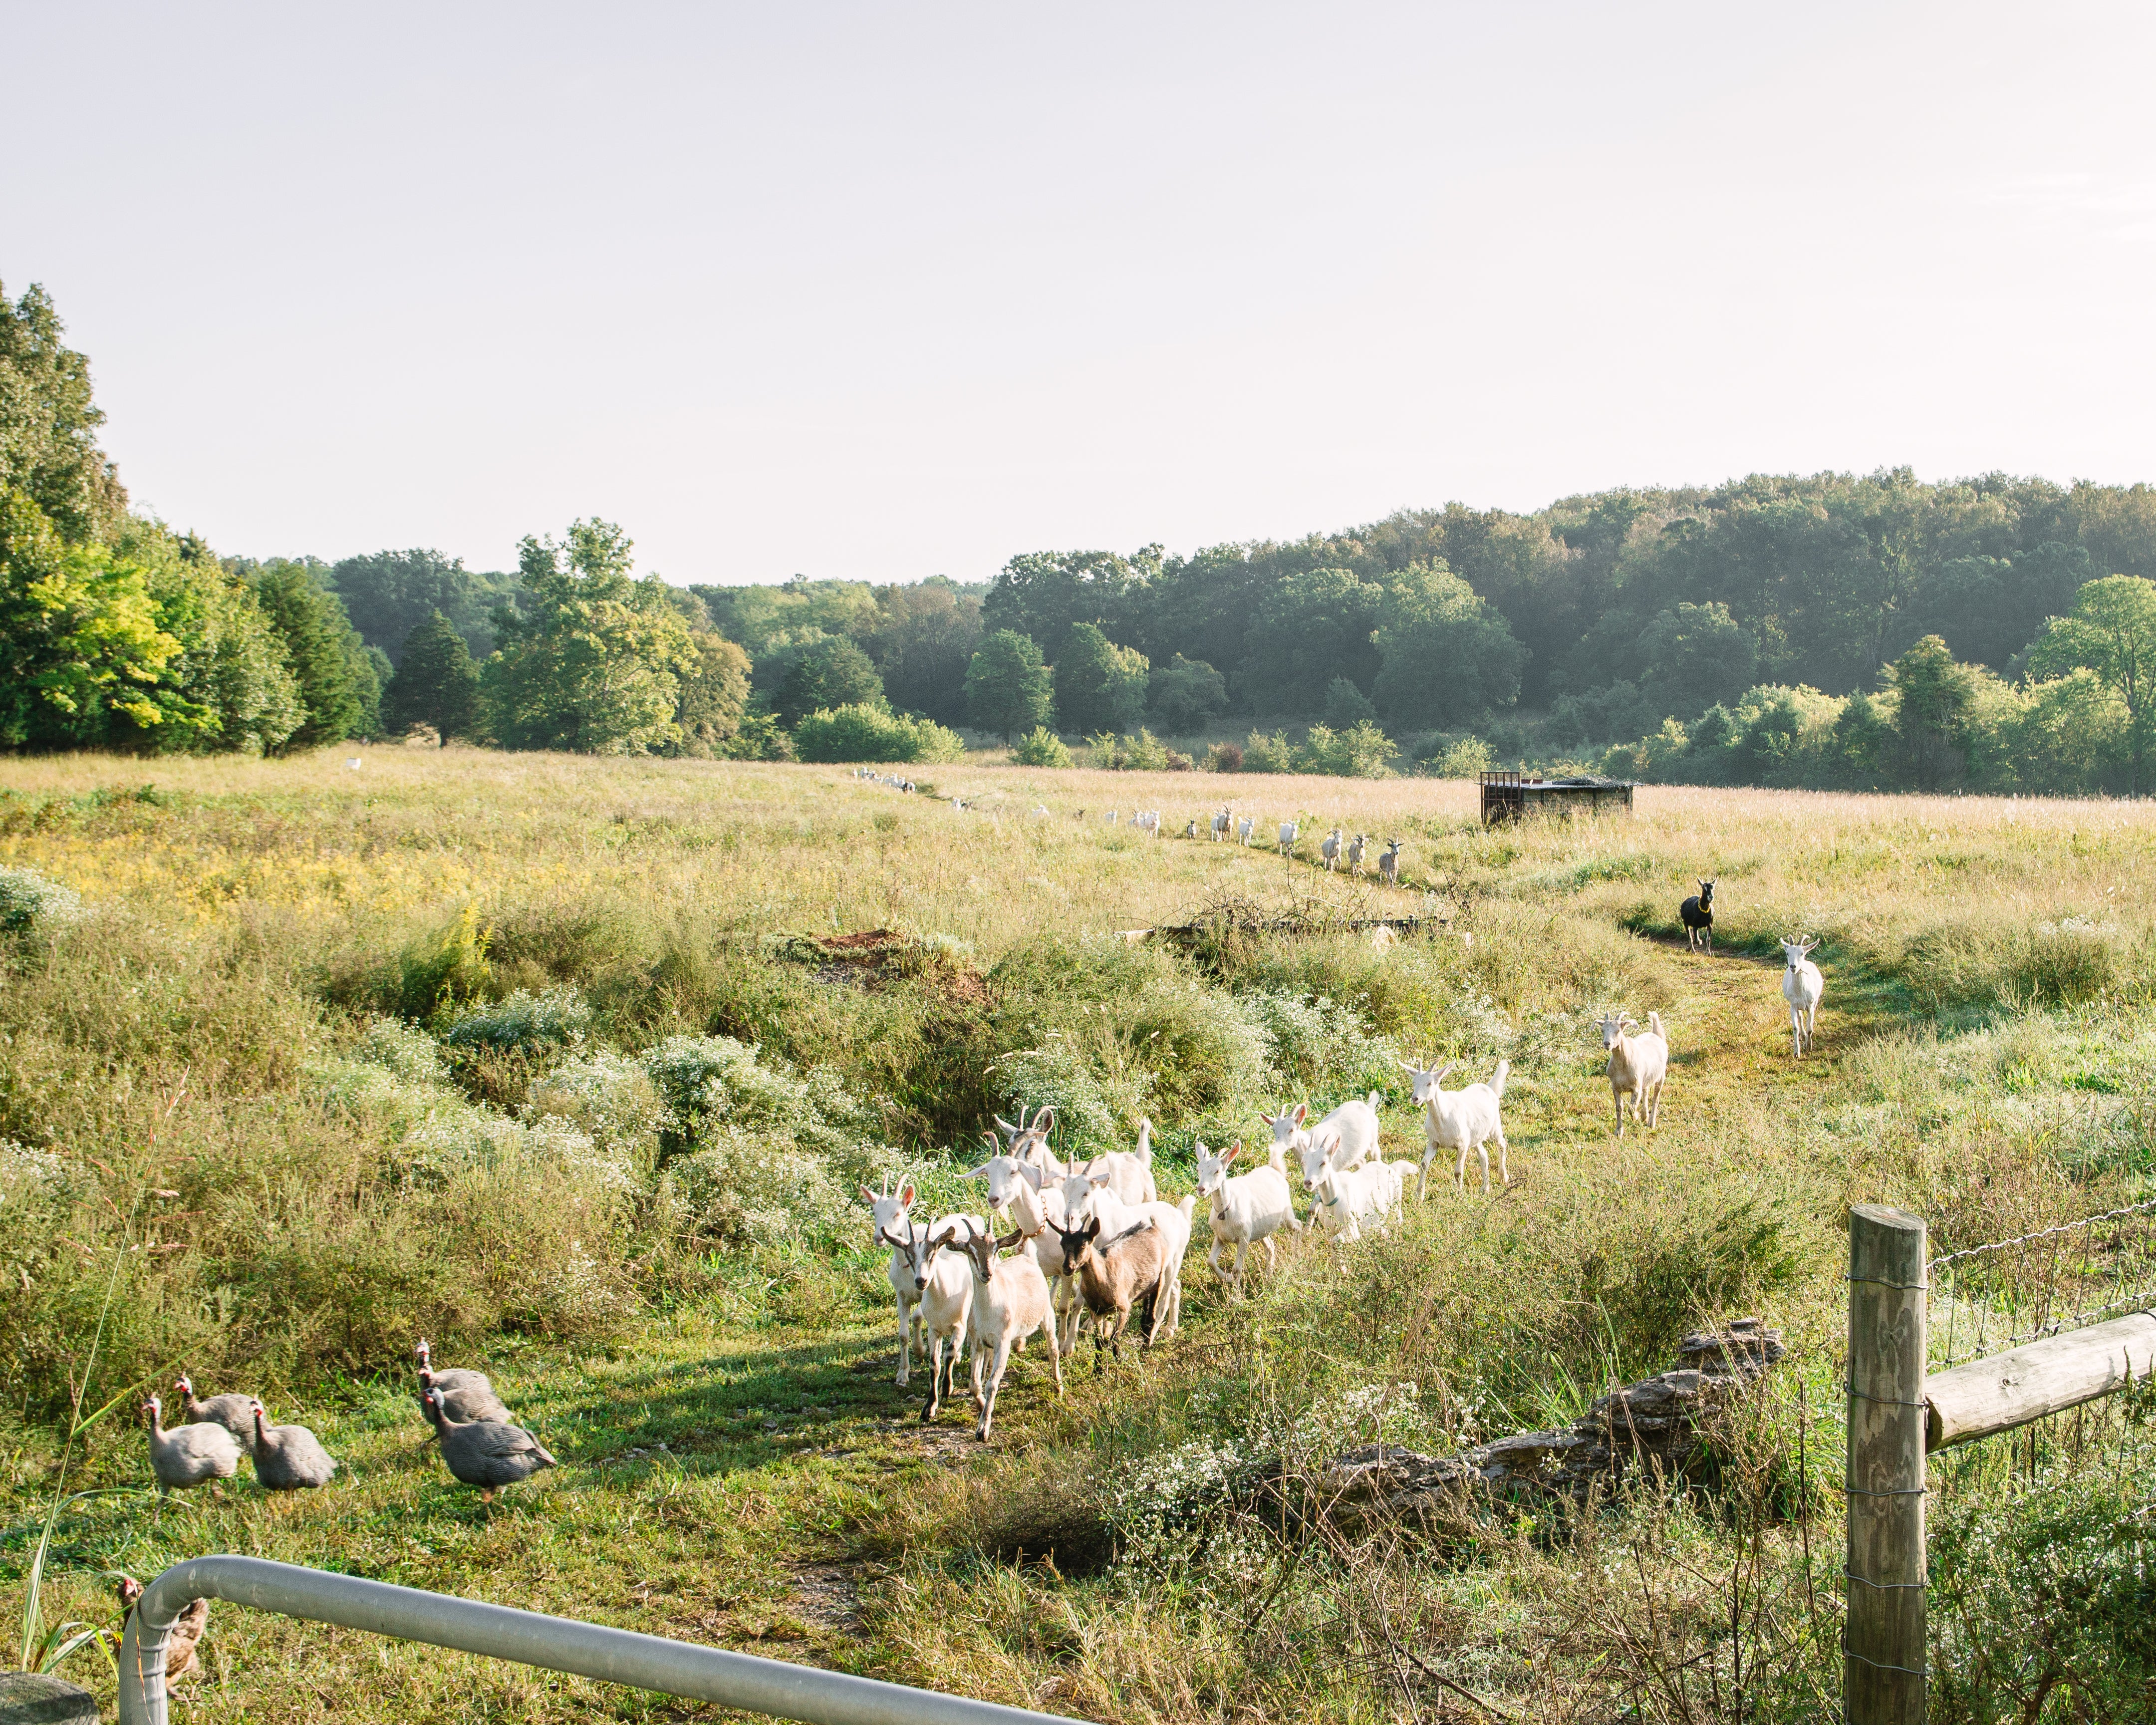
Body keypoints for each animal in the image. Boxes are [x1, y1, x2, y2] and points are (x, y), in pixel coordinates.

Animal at [1198, 1147, 1294, 1294]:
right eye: (1199, 1169)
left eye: (1217, 1171)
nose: (1201, 1189)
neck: (1226, 1209)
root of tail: (1275, 1169)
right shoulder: (1220, 1237)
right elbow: (1211, 1262)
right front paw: (1228, 1278)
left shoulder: (1243, 1238)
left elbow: (1237, 1269)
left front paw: (1235, 1296)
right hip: (1261, 1229)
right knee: (1270, 1247)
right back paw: (1268, 1277)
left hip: (1287, 1213)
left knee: (1297, 1226)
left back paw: (1297, 1251)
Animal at [1405, 1052, 1509, 1198]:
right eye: (1414, 1082)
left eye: (1430, 1083)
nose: (1415, 1099)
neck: (1443, 1119)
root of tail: (1489, 1088)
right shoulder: (1433, 1142)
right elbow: (1424, 1164)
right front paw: (1419, 1195)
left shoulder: (1462, 1145)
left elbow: (1458, 1171)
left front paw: (1459, 1194)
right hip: (1475, 1136)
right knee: (1484, 1155)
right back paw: (1485, 1188)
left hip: (1495, 1127)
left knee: (1502, 1144)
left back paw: (1503, 1177)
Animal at [1681, 875, 1716, 957]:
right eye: (1704, 889)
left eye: (1713, 888)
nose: (1711, 897)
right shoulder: (1695, 925)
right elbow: (1696, 939)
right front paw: (1700, 942)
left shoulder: (1710, 925)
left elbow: (1708, 939)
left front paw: (1708, 953)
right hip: (1686, 923)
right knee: (1690, 937)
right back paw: (1693, 951)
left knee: (1692, 935)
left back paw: (1688, 949)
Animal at [1785, 935, 1820, 1056]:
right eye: (1787, 953)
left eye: (1801, 953)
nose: (1793, 966)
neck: (1801, 991)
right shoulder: (1793, 1006)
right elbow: (1796, 1028)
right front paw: (1796, 1052)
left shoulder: (1811, 1006)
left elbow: (1810, 1028)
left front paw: (1809, 1046)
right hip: (1798, 1006)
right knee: (1800, 1017)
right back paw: (1803, 1036)